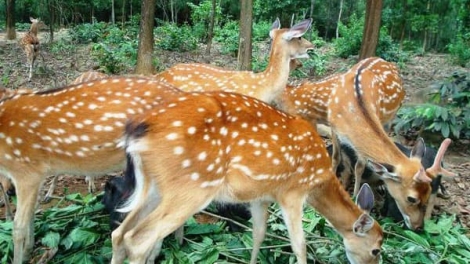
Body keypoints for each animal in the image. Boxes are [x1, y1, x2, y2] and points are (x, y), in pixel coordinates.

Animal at [0, 76, 184, 264]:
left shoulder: (26, 170)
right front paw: (28, 252)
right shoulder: (37, 175)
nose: (9, 192)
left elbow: (18, 227)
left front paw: (19, 257)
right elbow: (32, 214)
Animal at [112, 91, 384, 264]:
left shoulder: (260, 198)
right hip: (192, 186)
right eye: (376, 250)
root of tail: (137, 130)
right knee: (138, 239)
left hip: (153, 187)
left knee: (119, 234)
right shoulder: (293, 192)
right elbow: (300, 246)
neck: (319, 180)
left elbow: (258, 235)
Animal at [276, 56, 456, 230]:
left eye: (428, 192)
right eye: (411, 198)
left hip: (391, 117)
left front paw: (356, 195)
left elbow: (360, 166)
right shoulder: (334, 127)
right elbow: (336, 156)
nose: (418, 227)